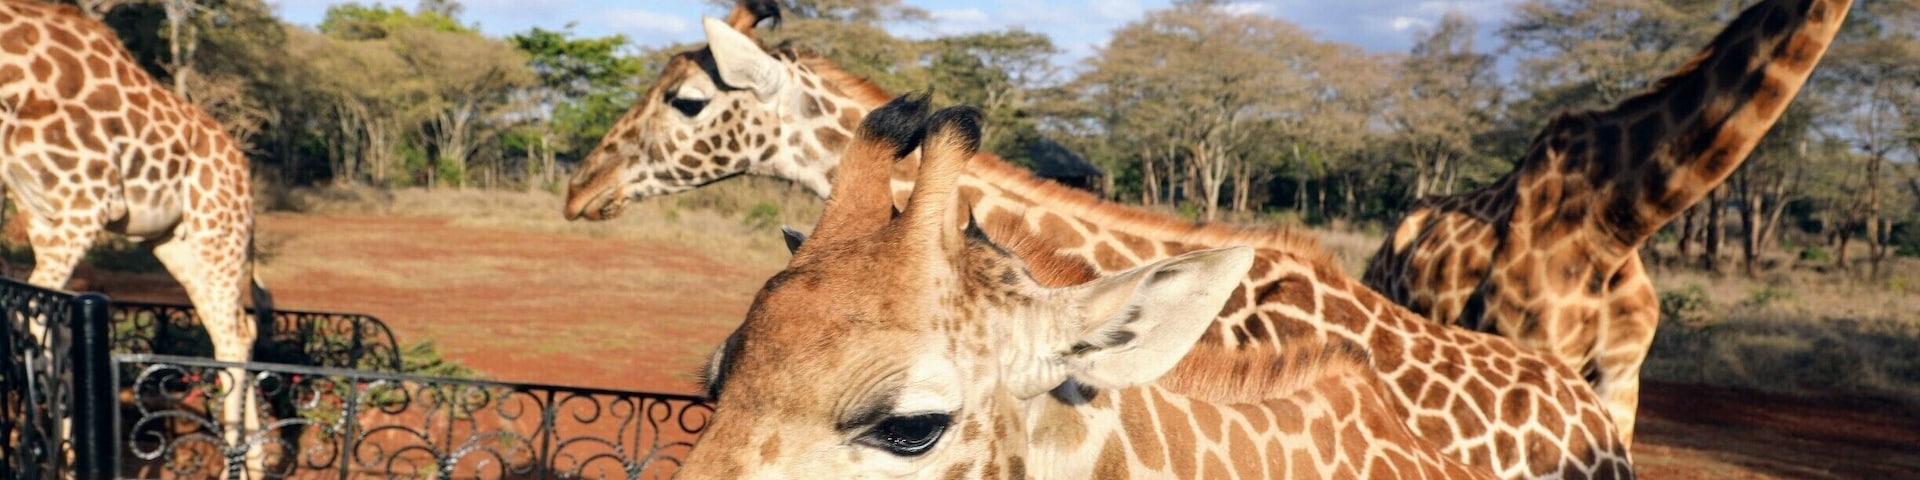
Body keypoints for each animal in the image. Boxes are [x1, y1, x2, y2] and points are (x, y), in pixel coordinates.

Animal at [1, 0, 273, 468]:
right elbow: (46, 322)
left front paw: (64, 455)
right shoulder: (37, 211)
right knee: (237, 330)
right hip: (178, 244)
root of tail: (245, 173)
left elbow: (41, 319)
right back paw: (253, 464)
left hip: (219, 232)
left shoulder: (89, 201)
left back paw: (236, 466)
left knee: (234, 335)